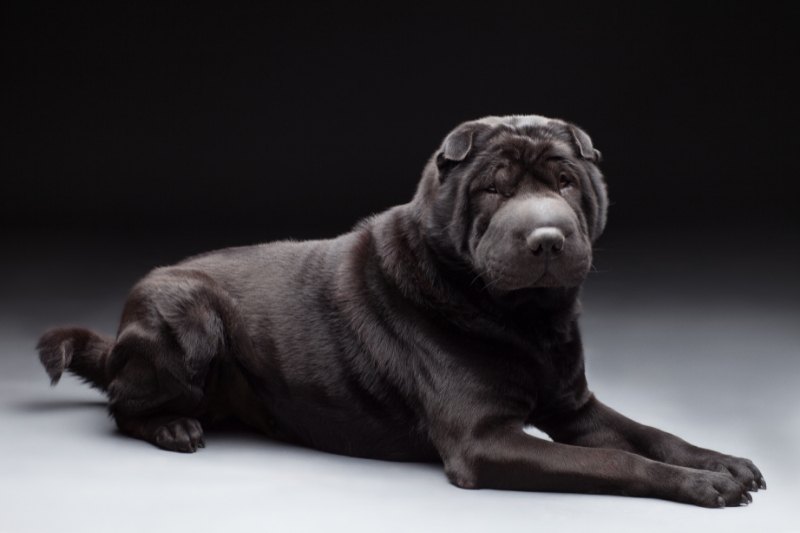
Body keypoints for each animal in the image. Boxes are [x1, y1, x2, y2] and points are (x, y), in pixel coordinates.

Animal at [37, 114, 764, 504]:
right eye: (494, 188)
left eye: (564, 181)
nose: (547, 237)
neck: (526, 321)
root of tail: (121, 327)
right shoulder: (484, 440)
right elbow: (618, 462)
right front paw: (704, 486)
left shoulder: (575, 407)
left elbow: (650, 433)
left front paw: (721, 462)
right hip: (185, 316)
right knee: (121, 404)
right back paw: (172, 428)